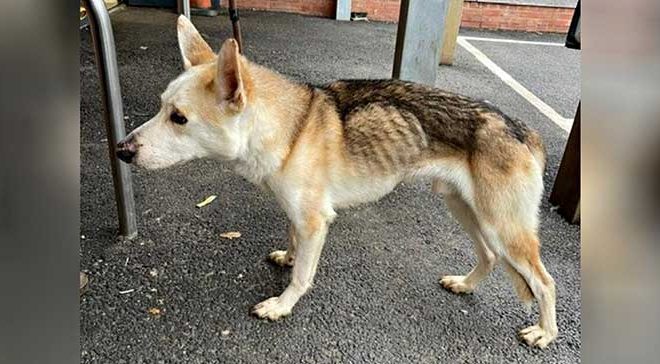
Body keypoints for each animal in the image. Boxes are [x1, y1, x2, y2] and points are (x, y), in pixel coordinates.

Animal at [116, 15, 560, 348]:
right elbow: (294, 244)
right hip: (466, 211)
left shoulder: (315, 221)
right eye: (160, 108)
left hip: (503, 229)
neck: (289, 129)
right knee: (489, 257)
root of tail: (526, 132)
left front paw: (282, 305)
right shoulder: (297, 216)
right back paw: (465, 285)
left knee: (544, 281)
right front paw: (289, 257)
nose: (121, 150)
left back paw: (546, 332)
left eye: (179, 118)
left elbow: (302, 277)